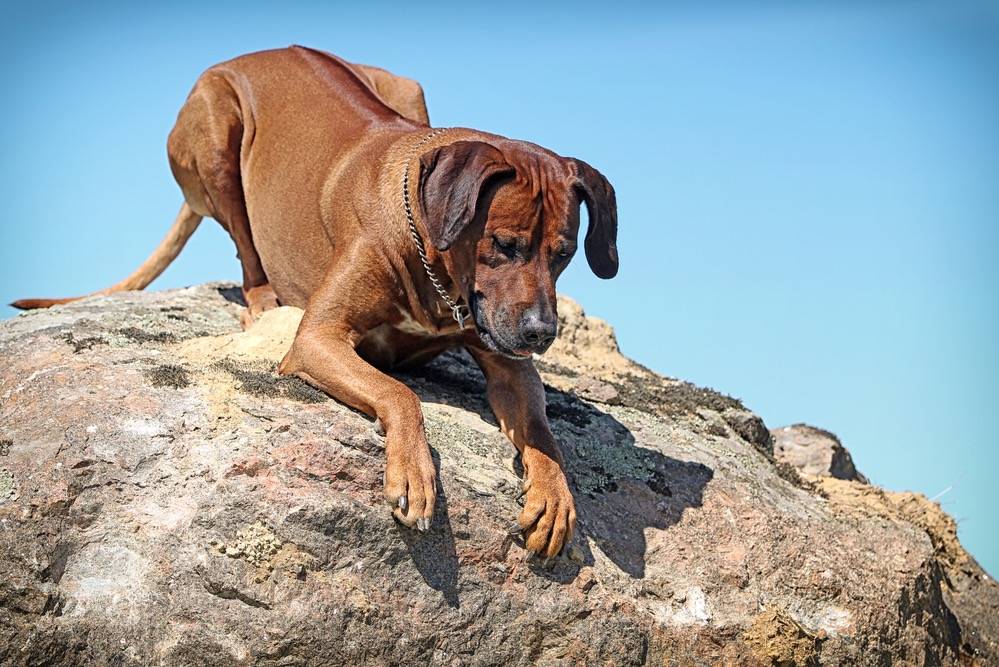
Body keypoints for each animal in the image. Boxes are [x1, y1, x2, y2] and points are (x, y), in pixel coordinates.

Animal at [13, 46, 619, 559]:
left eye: (564, 254)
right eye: (503, 244)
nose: (541, 333)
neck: (434, 264)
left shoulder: (507, 360)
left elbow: (541, 428)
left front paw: (555, 495)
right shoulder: (318, 339)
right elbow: (399, 393)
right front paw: (413, 472)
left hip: (406, 88)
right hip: (216, 125)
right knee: (246, 246)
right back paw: (263, 300)